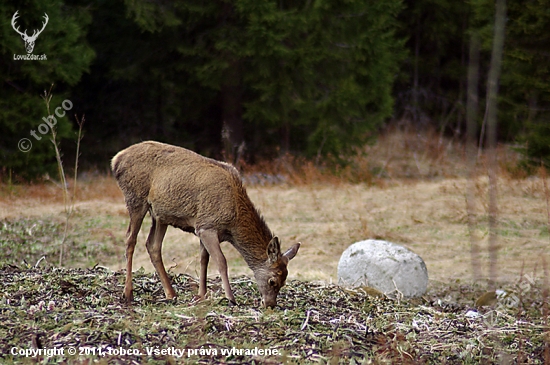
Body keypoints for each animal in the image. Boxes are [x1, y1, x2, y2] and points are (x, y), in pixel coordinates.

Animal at [112, 141, 302, 306]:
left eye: (284, 281)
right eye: (272, 281)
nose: (270, 304)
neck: (233, 223)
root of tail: (116, 159)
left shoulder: (201, 227)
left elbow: (204, 259)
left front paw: (201, 295)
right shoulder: (207, 226)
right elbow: (221, 261)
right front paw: (230, 298)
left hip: (160, 215)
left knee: (153, 245)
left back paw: (171, 293)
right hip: (136, 198)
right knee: (130, 239)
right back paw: (128, 293)